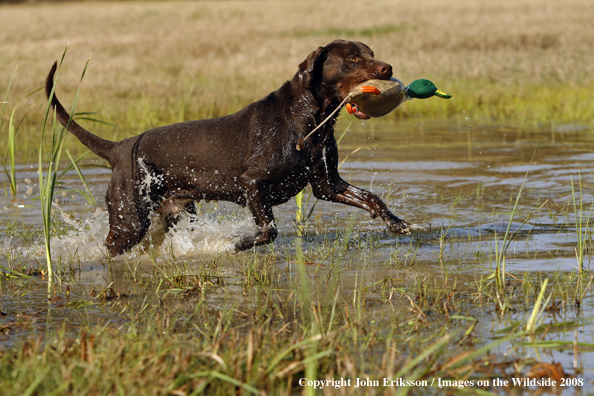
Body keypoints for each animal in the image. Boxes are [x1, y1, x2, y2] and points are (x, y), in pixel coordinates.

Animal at [45, 40, 412, 255]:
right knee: (110, 246)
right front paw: (238, 243)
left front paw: (398, 223)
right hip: (130, 218)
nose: (388, 68)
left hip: (175, 211)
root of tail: (119, 149)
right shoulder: (252, 184)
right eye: (352, 58)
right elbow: (268, 229)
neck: (309, 119)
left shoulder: (327, 184)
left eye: (371, 53)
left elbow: (371, 198)